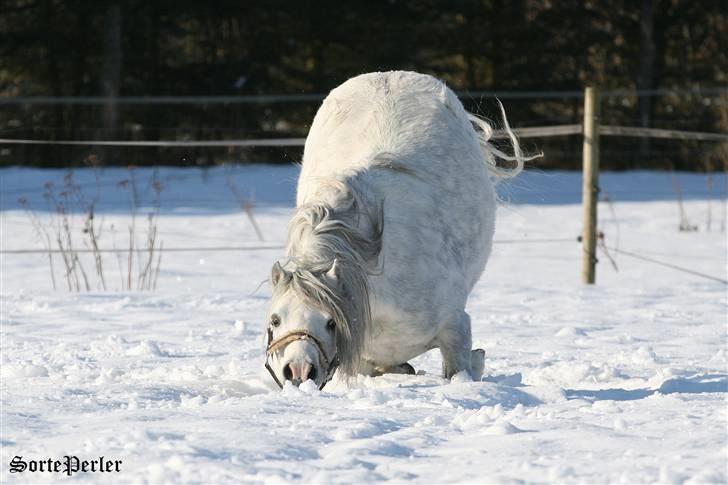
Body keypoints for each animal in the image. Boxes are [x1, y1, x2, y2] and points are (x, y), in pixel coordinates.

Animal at [264, 72, 528, 388]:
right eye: (275, 319)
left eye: (330, 322)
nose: (298, 371)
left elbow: (461, 369)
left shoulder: (455, 329)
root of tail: (389, 73)